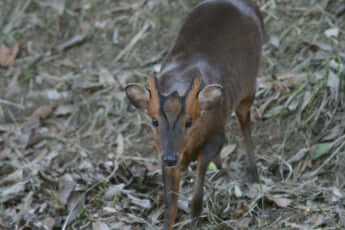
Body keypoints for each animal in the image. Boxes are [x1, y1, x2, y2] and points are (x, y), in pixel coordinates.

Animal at [125, 0, 262, 228]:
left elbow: (202, 165)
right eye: (154, 121)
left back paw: (253, 172)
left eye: (189, 122)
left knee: (245, 120)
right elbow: (171, 203)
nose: (171, 157)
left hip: (249, 84)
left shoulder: (217, 133)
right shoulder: (163, 152)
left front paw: (196, 211)